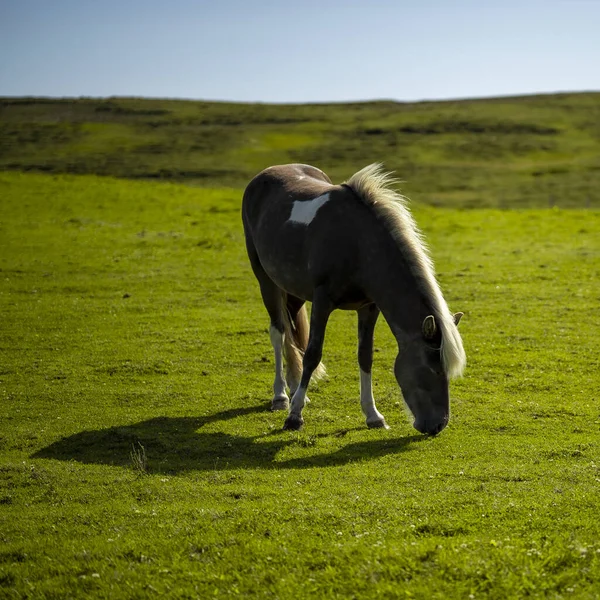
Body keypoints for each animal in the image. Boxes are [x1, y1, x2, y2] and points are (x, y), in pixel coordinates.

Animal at [241, 163, 466, 436]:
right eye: (432, 370)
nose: (438, 424)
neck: (357, 243)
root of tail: (266, 173)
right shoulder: (322, 301)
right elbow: (313, 354)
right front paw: (294, 417)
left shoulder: (369, 307)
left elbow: (365, 356)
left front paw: (373, 415)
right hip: (266, 280)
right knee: (279, 332)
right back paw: (281, 397)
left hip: (293, 291)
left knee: (291, 331)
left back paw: (295, 391)